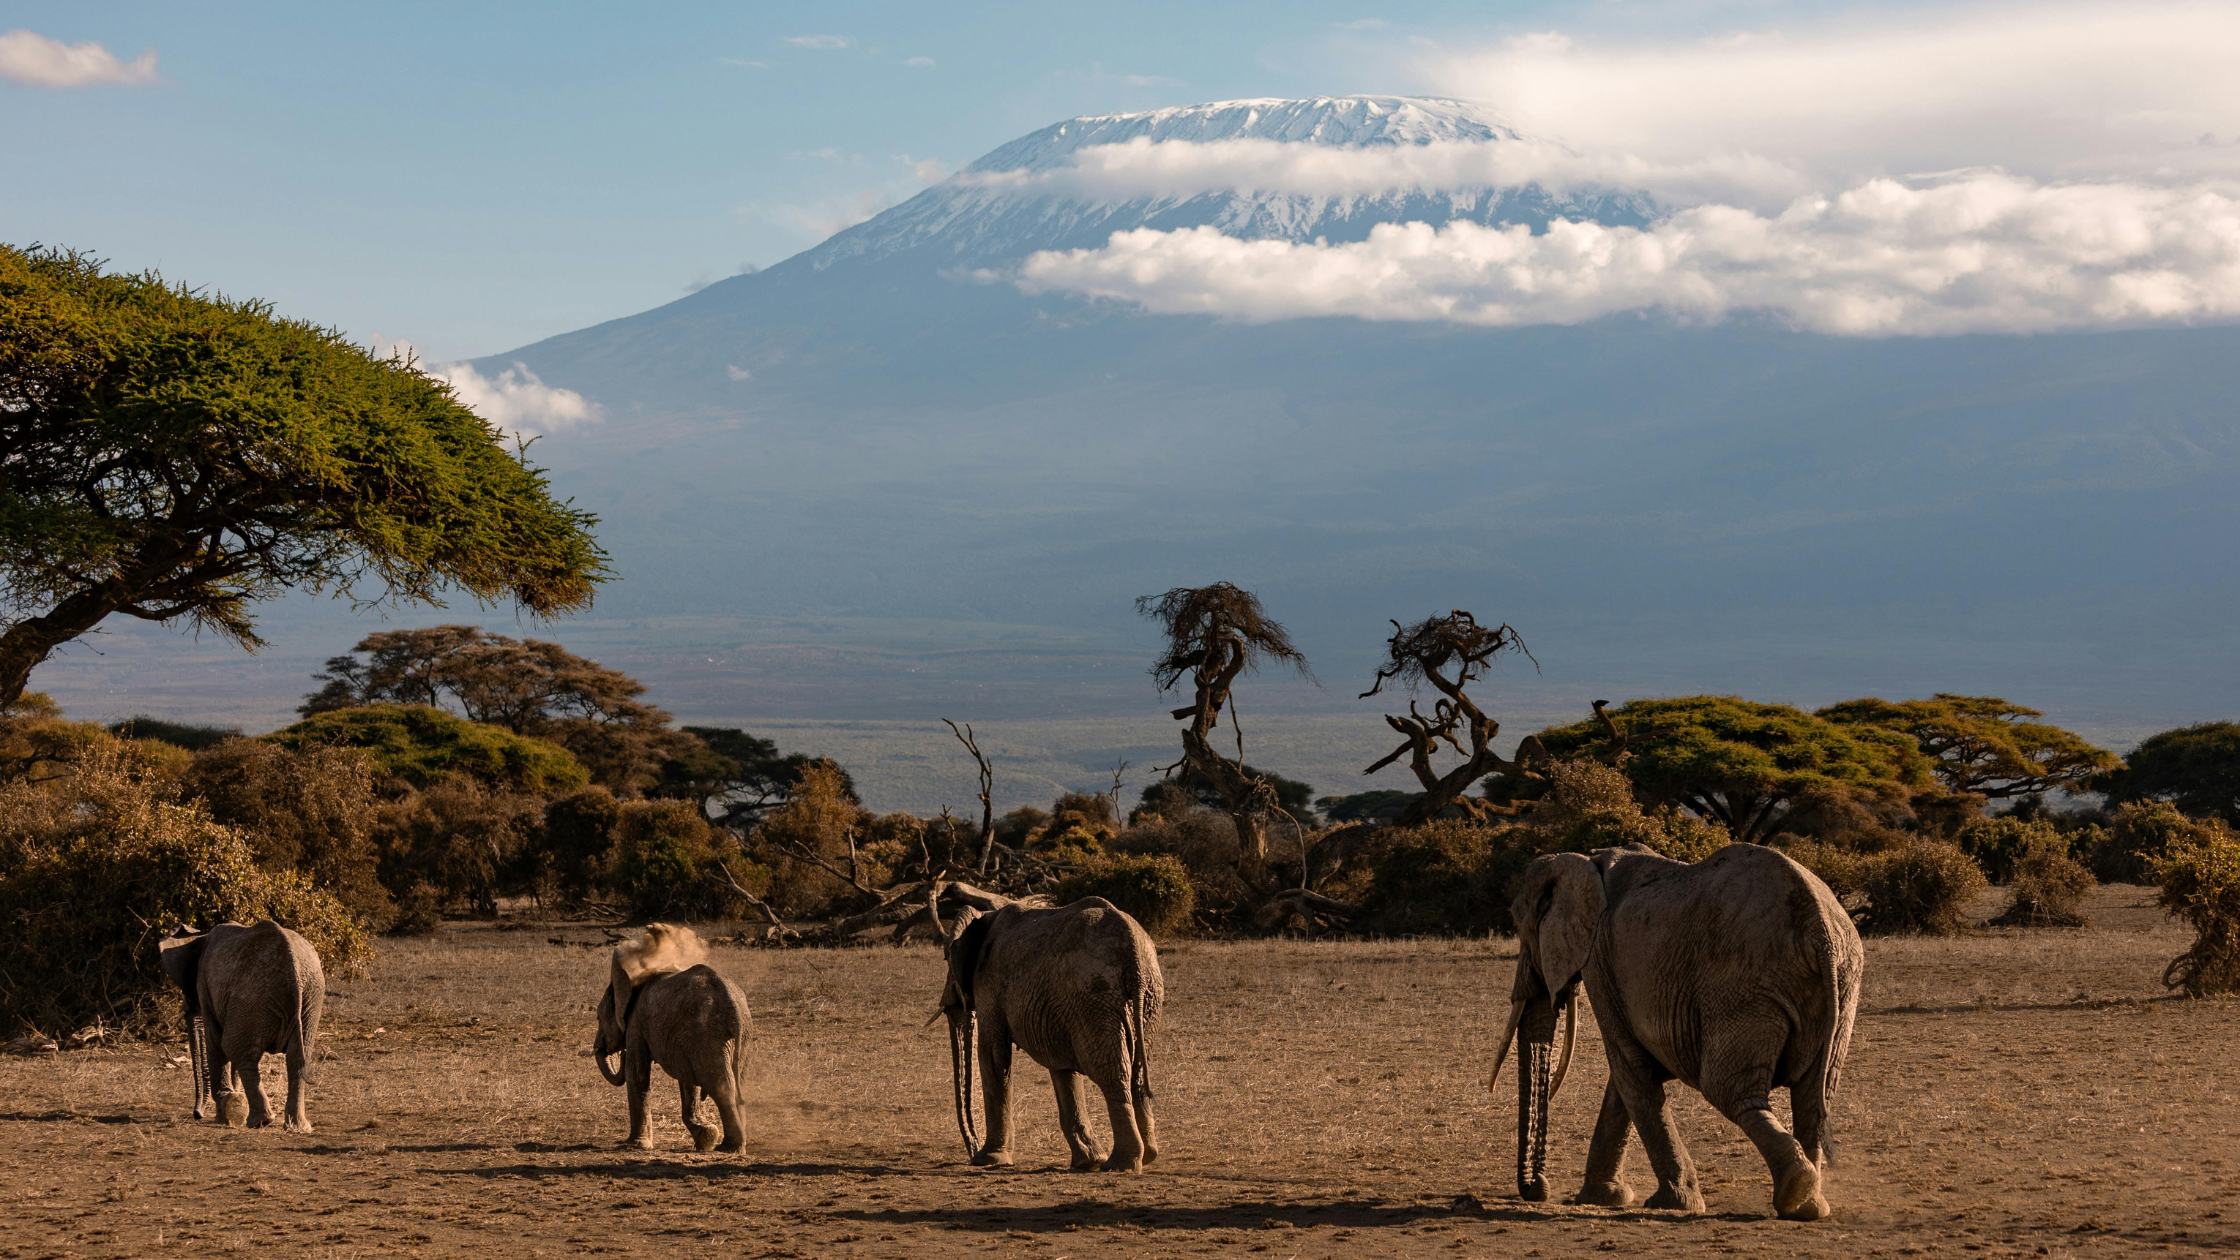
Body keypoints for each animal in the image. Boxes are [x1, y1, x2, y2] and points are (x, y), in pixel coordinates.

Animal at [158, 920, 326, 1132]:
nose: (197, 1115)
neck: (200, 936)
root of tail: (293, 967)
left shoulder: (205, 984)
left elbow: (216, 1043)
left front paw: (223, 1114)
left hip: (253, 997)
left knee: (235, 1049)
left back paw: (259, 1121)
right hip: (311, 996)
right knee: (296, 1058)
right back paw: (297, 1127)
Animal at [593, 923, 751, 1153]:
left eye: (598, 1017)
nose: (620, 1053)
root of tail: (733, 1007)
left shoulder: (636, 1023)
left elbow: (637, 1074)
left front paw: (636, 1146)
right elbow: (687, 1080)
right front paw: (706, 1138)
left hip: (708, 1033)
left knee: (722, 1085)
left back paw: (729, 1148)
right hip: (736, 1037)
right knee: (738, 1082)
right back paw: (732, 1145)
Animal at [941, 897, 1162, 1172]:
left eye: (945, 957)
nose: (972, 1151)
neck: (985, 915)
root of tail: (1133, 955)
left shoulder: (989, 984)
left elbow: (993, 1056)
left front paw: (988, 1160)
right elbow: (1061, 1067)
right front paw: (1087, 1162)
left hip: (1094, 995)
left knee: (1112, 1073)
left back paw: (1120, 1165)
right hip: (1145, 998)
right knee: (1137, 1070)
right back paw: (1147, 1156)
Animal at [1491, 842, 1862, 1221]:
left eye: (1521, 926)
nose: (1538, 1189)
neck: (1583, 860)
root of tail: (1818, 928)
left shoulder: (1599, 961)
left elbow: (1629, 1067)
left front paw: (1673, 1204)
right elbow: (1627, 1077)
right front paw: (1604, 1198)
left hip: (1743, 985)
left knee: (1729, 1089)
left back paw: (1796, 1189)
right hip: (1841, 983)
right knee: (1813, 1096)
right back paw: (1808, 1205)